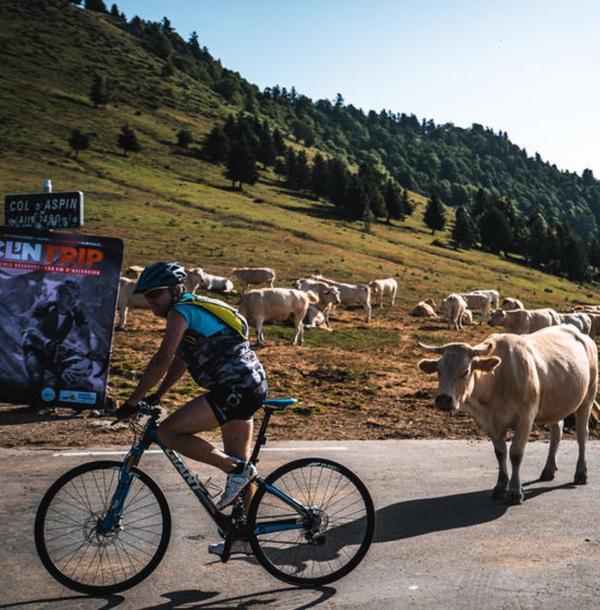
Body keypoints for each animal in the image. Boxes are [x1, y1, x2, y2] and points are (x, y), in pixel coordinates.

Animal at [420, 326, 596, 502]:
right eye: (439, 370)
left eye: (466, 371)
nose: (443, 399)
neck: (497, 380)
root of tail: (581, 335)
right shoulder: (490, 422)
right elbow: (500, 453)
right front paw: (500, 486)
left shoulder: (526, 417)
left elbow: (516, 453)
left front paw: (515, 491)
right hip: (555, 405)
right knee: (556, 432)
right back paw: (548, 470)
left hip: (588, 398)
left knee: (582, 434)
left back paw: (581, 473)